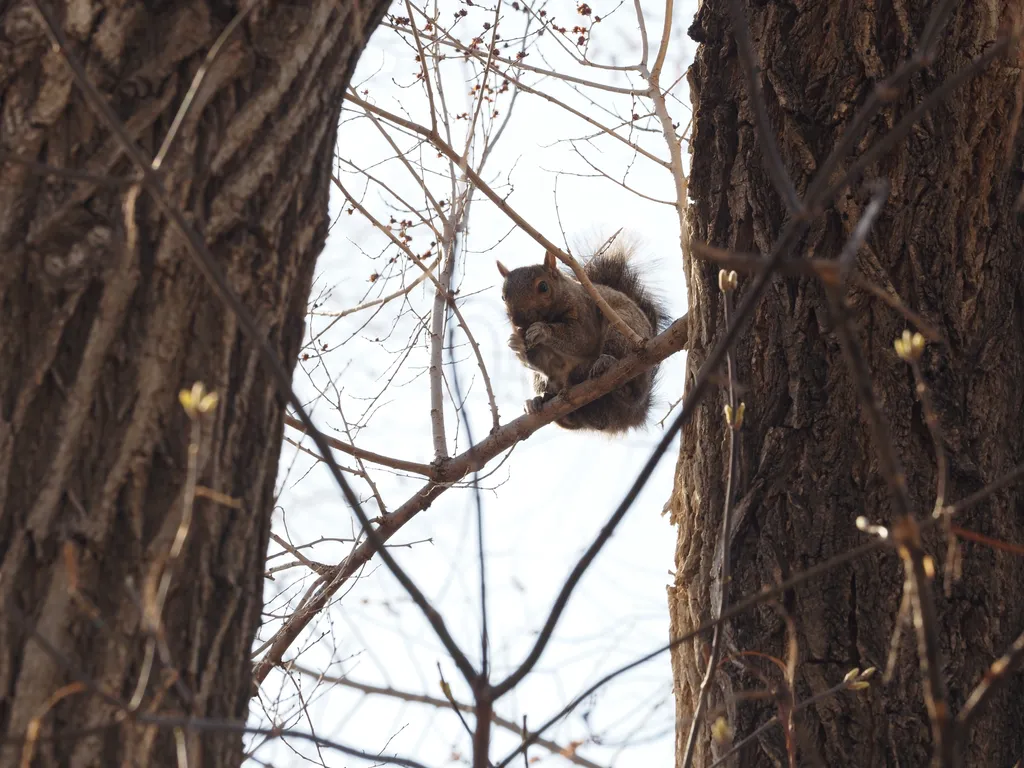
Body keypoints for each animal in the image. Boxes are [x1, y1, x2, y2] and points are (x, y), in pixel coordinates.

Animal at [497, 246, 665, 433]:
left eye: (543, 287)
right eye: (503, 297)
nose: (518, 322)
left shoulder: (585, 312)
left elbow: (582, 339)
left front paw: (542, 330)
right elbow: (543, 361)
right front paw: (517, 344)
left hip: (622, 329)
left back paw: (605, 363)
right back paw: (538, 401)